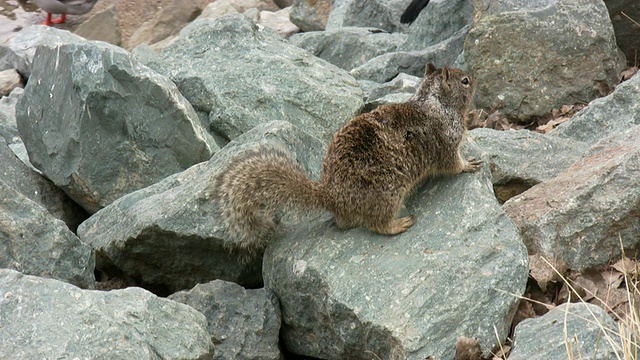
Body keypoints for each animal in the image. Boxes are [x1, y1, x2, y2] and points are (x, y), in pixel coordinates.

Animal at [212, 62, 482, 258]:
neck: (435, 103)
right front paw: (470, 165)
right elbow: (452, 164)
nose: (475, 77)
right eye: (465, 81)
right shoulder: (447, 142)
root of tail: (331, 196)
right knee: (377, 224)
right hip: (389, 194)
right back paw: (399, 224)